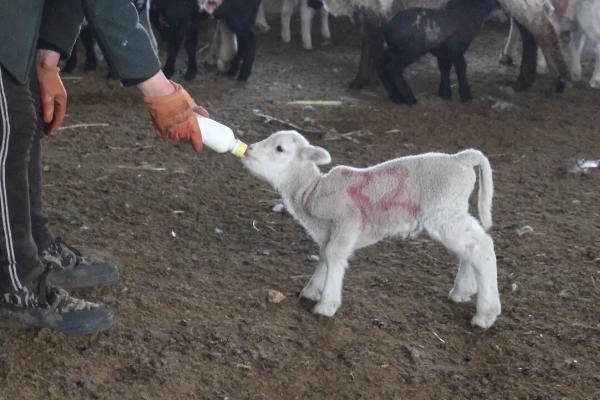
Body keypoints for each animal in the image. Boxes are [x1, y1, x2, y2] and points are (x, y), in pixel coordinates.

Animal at [243, 130, 502, 330]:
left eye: (280, 148)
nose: (247, 150)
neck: (312, 190)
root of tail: (461, 158)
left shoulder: (348, 221)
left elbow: (334, 255)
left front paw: (327, 304)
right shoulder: (328, 230)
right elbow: (325, 255)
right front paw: (312, 289)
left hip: (443, 211)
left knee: (481, 246)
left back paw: (485, 314)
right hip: (452, 210)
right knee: (470, 247)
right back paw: (463, 291)